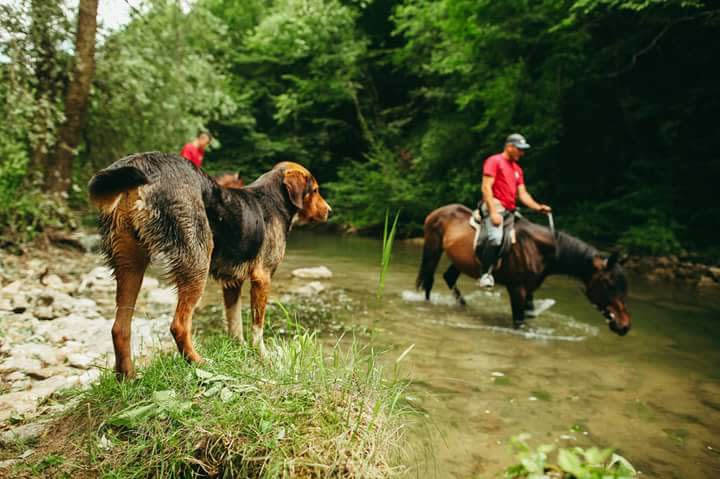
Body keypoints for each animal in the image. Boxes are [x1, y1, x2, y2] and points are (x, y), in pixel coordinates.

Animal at [88, 154, 332, 378]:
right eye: (316, 190)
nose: (329, 211)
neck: (274, 200)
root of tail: (141, 163)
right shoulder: (262, 278)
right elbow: (257, 328)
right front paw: (263, 358)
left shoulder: (232, 282)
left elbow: (235, 324)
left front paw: (239, 351)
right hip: (197, 261)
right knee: (179, 325)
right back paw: (199, 363)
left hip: (130, 263)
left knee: (120, 328)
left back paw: (128, 377)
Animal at [416, 204, 632, 336]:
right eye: (609, 284)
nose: (625, 325)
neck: (537, 249)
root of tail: (437, 212)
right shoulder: (517, 289)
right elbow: (519, 321)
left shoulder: (529, 290)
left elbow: (528, 314)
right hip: (433, 250)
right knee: (429, 281)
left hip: (460, 261)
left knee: (449, 278)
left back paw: (463, 306)